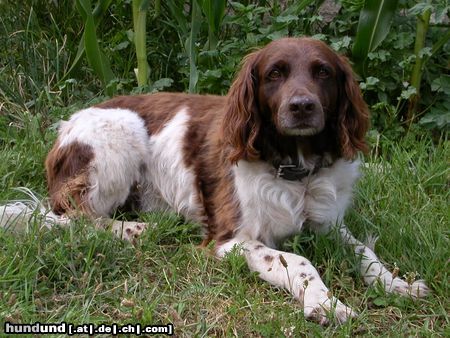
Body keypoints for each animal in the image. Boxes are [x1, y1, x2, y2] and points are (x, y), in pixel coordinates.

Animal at [0, 37, 428, 324]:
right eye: (275, 73)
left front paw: (397, 284)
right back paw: (136, 229)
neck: (295, 170)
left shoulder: (329, 225)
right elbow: (298, 259)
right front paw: (325, 303)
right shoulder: (229, 240)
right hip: (121, 131)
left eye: (323, 72)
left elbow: (365, 253)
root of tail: (65, 127)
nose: (302, 107)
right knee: (71, 217)